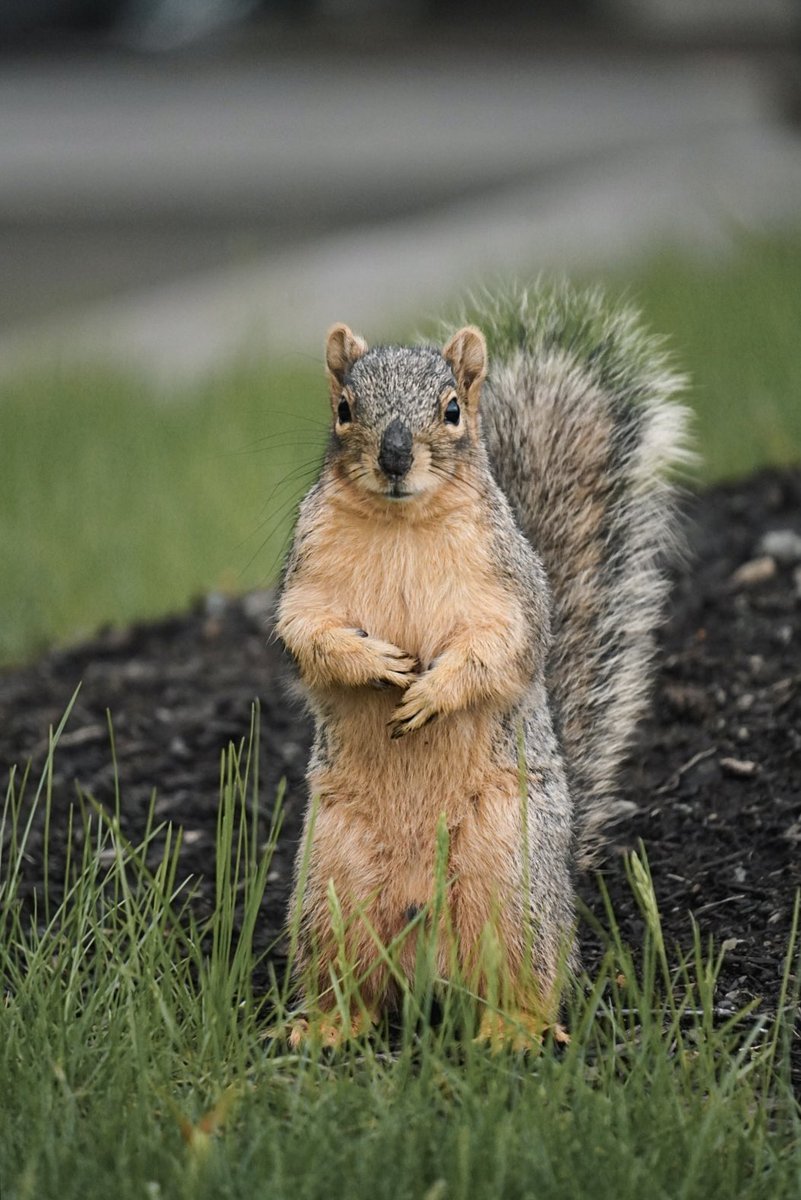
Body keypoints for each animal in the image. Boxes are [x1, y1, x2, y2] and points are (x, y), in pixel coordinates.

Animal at [275, 283, 690, 1046]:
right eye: (344, 408)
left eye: (451, 410)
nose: (395, 456)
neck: (401, 524)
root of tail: (422, 939)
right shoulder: (306, 578)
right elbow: (307, 635)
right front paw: (374, 663)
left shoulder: (508, 587)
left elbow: (501, 648)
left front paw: (431, 693)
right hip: (330, 889)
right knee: (351, 983)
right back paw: (324, 1028)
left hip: (509, 877)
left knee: (522, 979)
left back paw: (513, 1033)